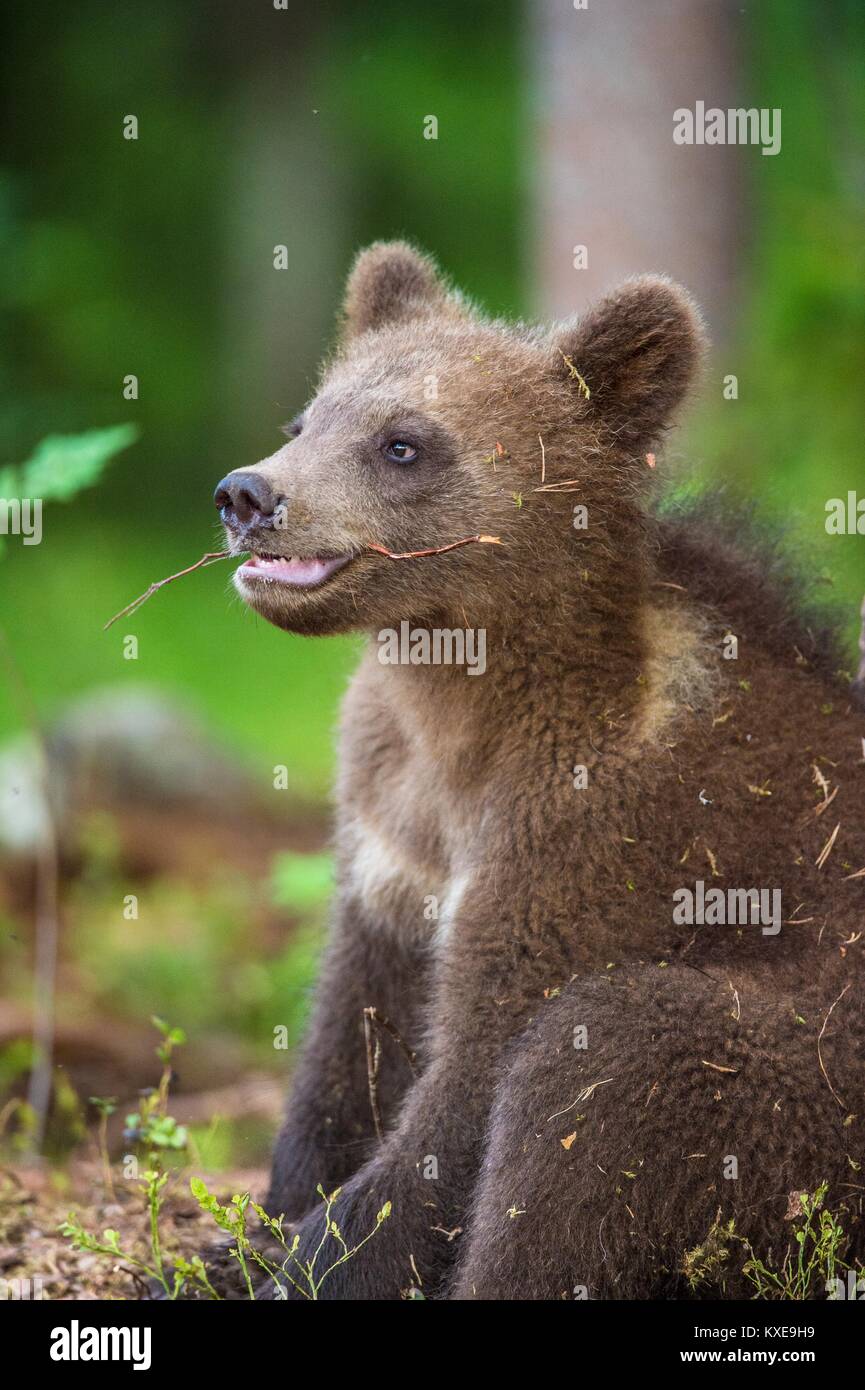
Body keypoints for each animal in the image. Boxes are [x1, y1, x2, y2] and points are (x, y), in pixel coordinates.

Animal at [213, 242, 865, 1300]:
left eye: (403, 443)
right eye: (304, 422)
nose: (247, 496)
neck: (466, 713)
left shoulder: (593, 835)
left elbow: (474, 1082)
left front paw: (305, 1256)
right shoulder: (390, 818)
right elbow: (350, 1032)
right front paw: (262, 1221)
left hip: (819, 1092)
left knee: (607, 1070)